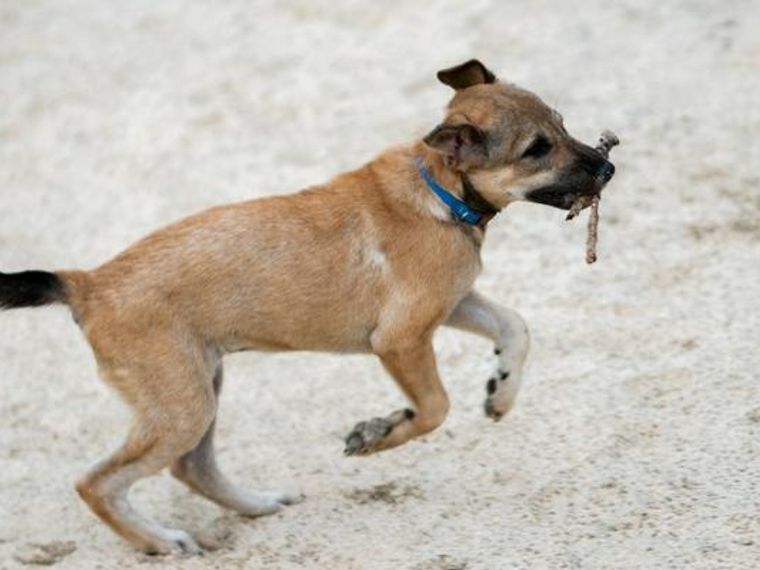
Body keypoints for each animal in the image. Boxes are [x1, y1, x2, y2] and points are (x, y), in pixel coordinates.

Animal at [0, 58, 616, 552]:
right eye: (536, 150)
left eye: (561, 124)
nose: (609, 168)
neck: (439, 190)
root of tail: (87, 283)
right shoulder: (401, 340)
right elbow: (434, 409)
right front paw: (380, 433)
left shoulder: (454, 303)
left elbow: (516, 327)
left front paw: (501, 391)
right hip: (182, 404)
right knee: (98, 483)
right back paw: (160, 541)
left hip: (199, 388)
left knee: (192, 467)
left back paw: (256, 505)